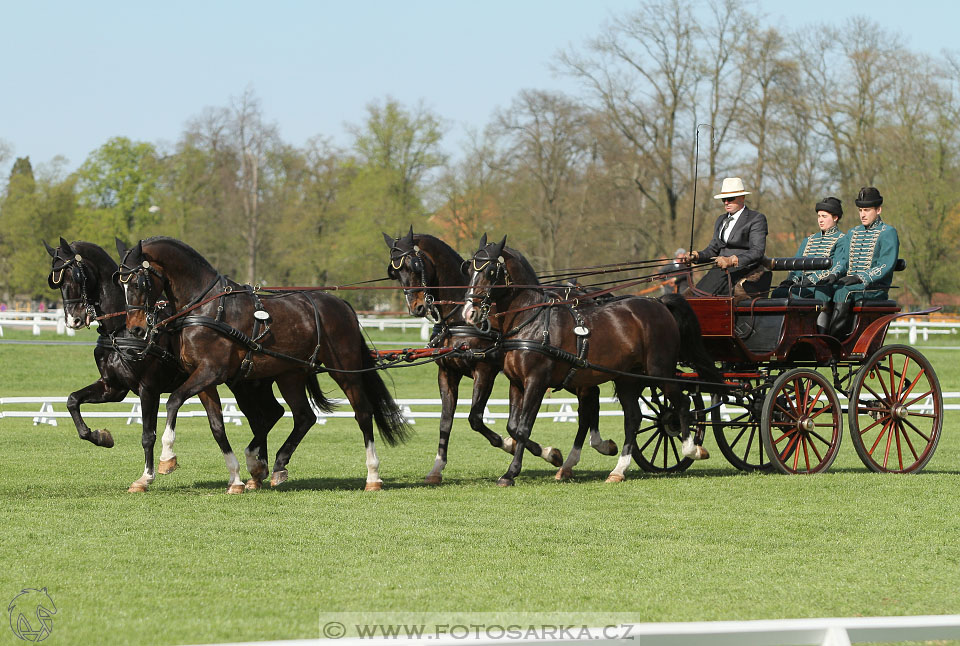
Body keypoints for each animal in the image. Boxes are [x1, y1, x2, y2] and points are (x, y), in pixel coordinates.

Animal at [44, 240, 284, 494]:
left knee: (267, 416)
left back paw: (259, 468)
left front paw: (146, 477)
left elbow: (147, 435)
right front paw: (100, 436)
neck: (120, 330)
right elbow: (72, 401)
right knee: (263, 417)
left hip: (246, 385)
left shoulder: (148, 389)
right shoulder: (112, 388)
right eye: (56, 280)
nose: (73, 320)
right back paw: (258, 471)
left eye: (77, 275)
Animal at [115, 238, 408, 496]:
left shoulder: (211, 372)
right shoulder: (203, 379)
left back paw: (373, 475)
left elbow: (174, 401)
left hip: (343, 370)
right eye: (121, 284)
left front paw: (167, 457)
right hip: (290, 375)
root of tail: (342, 304)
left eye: (140, 281)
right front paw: (235, 478)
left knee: (363, 413)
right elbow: (217, 426)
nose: (136, 329)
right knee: (304, 416)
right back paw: (276, 465)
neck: (207, 307)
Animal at [380, 230, 616, 484]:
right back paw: (592, 450)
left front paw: (534, 450)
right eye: (394, 271)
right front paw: (437, 468)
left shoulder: (485, 370)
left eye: (415, 265)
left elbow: (475, 418)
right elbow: (445, 421)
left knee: (588, 402)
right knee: (591, 399)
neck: (459, 319)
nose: (417, 307)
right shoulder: (447, 372)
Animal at [460, 235, 720, 488]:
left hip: (659, 371)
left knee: (682, 403)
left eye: (491, 271)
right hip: (627, 378)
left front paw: (512, 473)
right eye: (469, 269)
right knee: (633, 418)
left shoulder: (537, 381)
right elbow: (513, 427)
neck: (531, 320)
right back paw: (618, 470)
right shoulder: (516, 382)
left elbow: (523, 428)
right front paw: (550, 455)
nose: (469, 313)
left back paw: (692, 449)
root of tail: (658, 303)